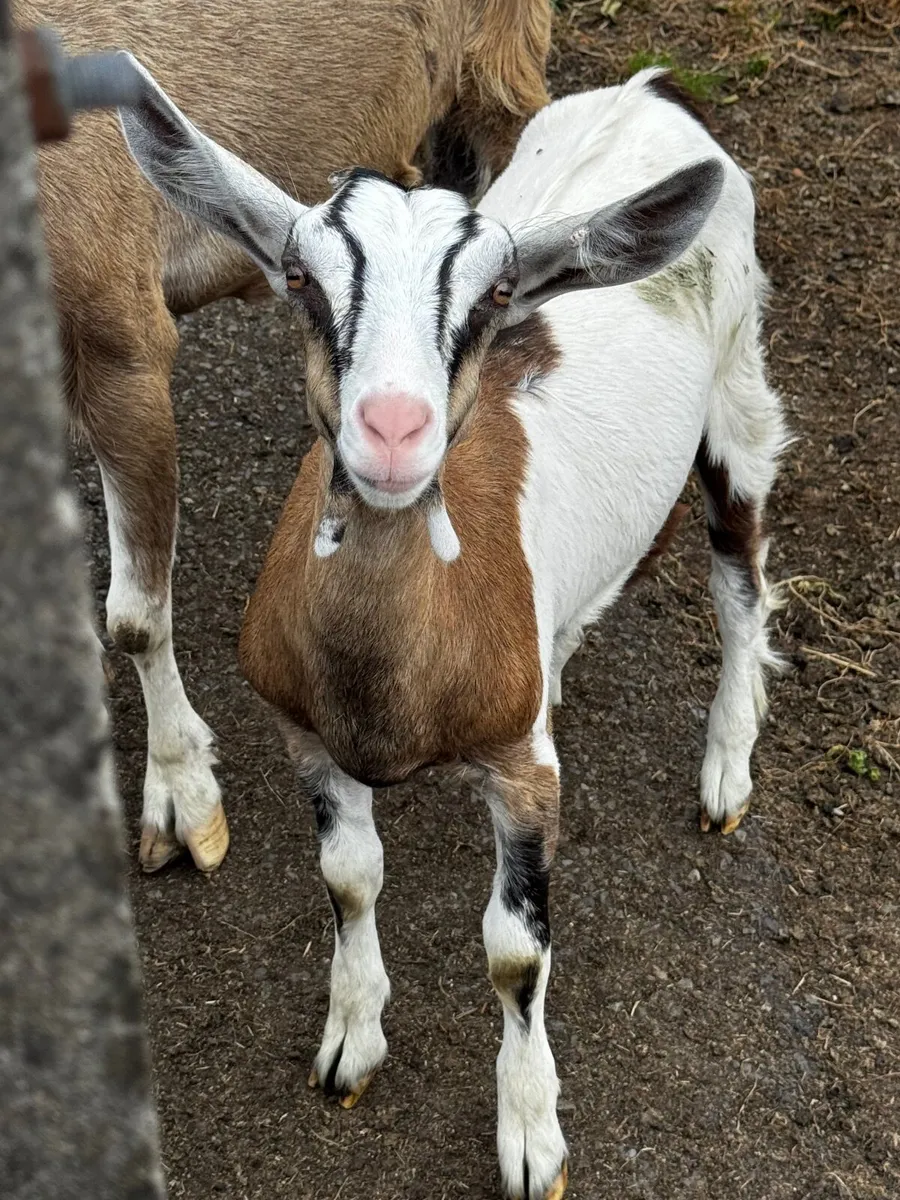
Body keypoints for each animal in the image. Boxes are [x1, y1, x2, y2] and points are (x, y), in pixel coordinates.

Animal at [120, 63, 788, 1200]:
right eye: (300, 279)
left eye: (493, 295)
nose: (394, 430)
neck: (391, 700)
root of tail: (655, 90)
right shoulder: (305, 736)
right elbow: (348, 879)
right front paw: (351, 1041)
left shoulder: (525, 776)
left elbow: (516, 952)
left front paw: (531, 1134)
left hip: (738, 390)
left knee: (741, 571)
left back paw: (727, 769)